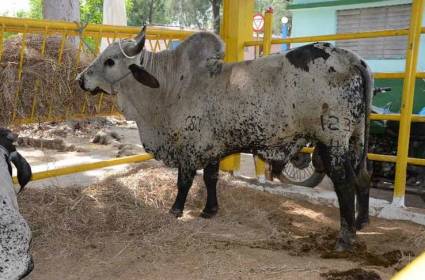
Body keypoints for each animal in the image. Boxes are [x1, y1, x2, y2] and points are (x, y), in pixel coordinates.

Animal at [76, 27, 372, 252]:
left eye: (110, 61)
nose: (80, 79)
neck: (170, 86)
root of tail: (353, 59)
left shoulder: (190, 147)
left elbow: (184, 182)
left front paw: (175, 210)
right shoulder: (212, 146)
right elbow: (211, 178)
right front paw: (209, 210)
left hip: (333, 140)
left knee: (345, 183)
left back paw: (345, 238)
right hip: (356, 138)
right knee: (363, 176)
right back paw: (361, 222)